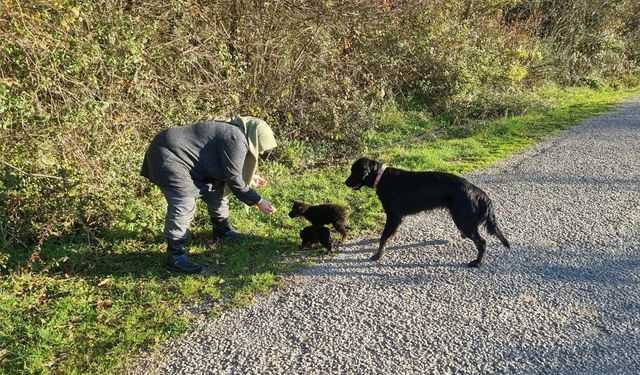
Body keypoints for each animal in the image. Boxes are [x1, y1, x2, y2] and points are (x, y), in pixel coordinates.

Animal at [344, 157, 510, 268]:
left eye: (354, 172)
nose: (345, 183)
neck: (382, 177)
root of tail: (478, 191)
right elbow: (386, 235)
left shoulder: (394, 216)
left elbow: (384, 237)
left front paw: (378, 255)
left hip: (463, 219)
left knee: (482, 242)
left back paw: (477, 262)